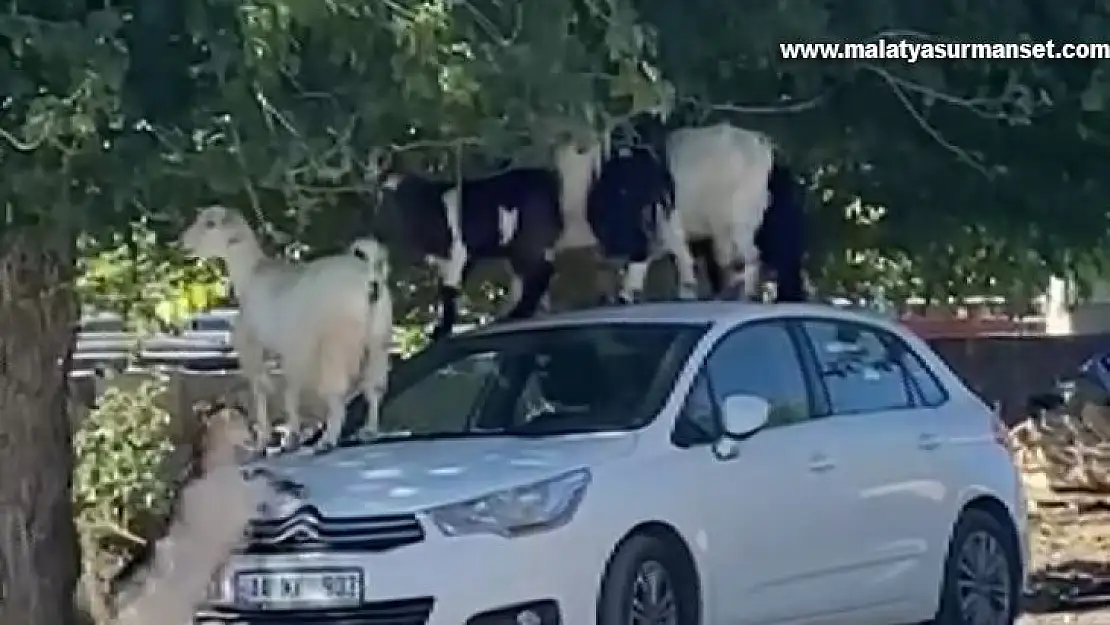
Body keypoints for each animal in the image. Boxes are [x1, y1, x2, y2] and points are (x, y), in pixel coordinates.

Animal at [179, 206, 392, 455]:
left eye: (210, 223)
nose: (183, 242)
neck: (251, 275)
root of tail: (370, 279)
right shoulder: (292, 350)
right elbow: (291, 391)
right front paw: (291, 438)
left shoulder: (255, 346)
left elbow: (262, 389)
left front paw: (265, 442)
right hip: (378, 339)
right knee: (375, 386)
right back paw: (369, 431)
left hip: (337, 342)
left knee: (337, 392)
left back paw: (326, 441)